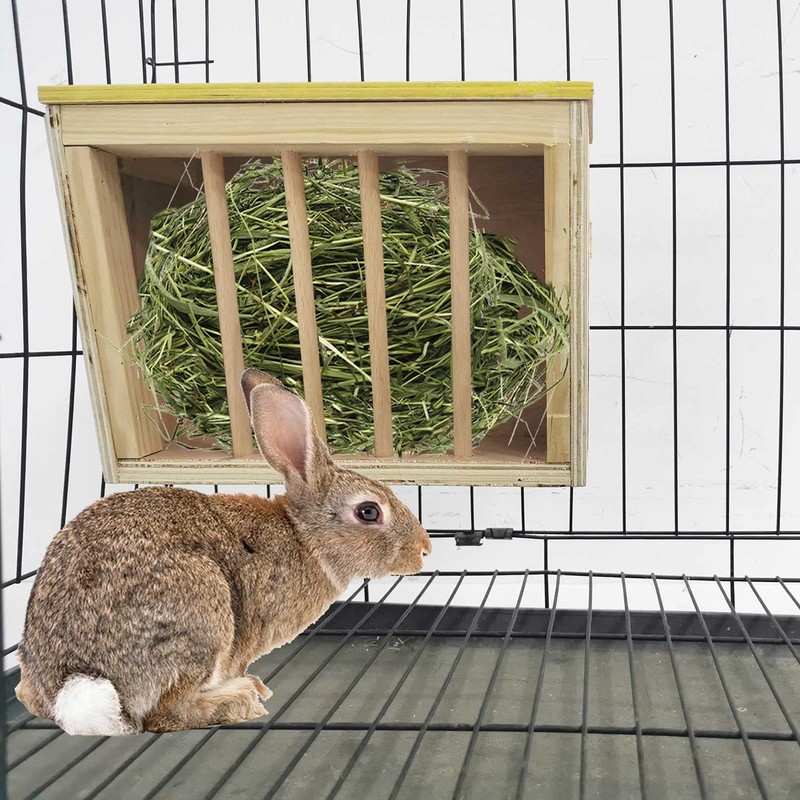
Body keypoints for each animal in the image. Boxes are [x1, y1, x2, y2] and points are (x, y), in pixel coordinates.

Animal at [15, 368, 432, 735]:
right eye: (368, 511)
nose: (424, 549)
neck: (304, 536)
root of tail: (77, 685)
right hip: (202, 613)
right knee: (166, 714)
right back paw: (240, 698)